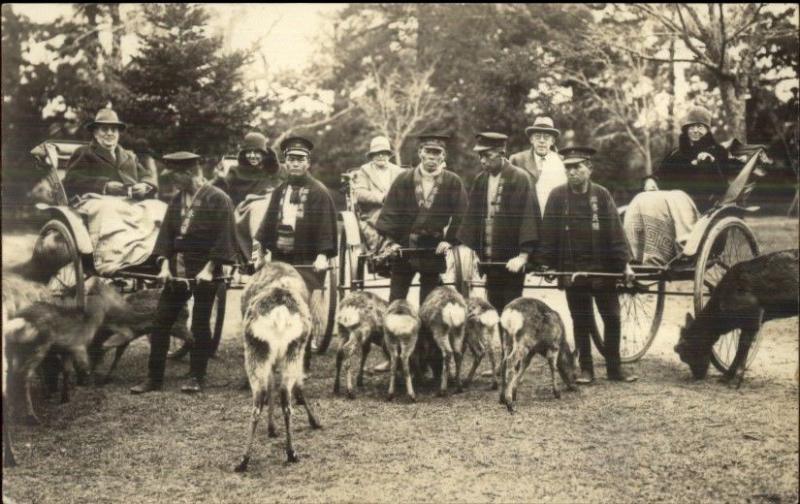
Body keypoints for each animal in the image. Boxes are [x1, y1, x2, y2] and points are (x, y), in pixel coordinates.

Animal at [233, 264, 320, 472]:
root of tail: (279, 314)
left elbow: (271, 386)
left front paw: (272, 428)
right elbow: (298, 385)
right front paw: (314, 421)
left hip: (259, 350)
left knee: (260, 399)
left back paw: (245, 459)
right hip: (292, 348)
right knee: (284, 394)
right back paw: (291, 452)